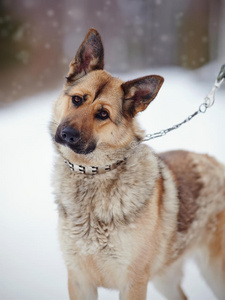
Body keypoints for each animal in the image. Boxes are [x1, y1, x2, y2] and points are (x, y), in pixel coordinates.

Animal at [50, 28, 225, 300]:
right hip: (165, 277)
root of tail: (214, 162)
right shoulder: (79, 279)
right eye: (77, 100)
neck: (92, 174)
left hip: (214, 272)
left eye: (103, 114)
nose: (67, 134)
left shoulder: (133, 282)